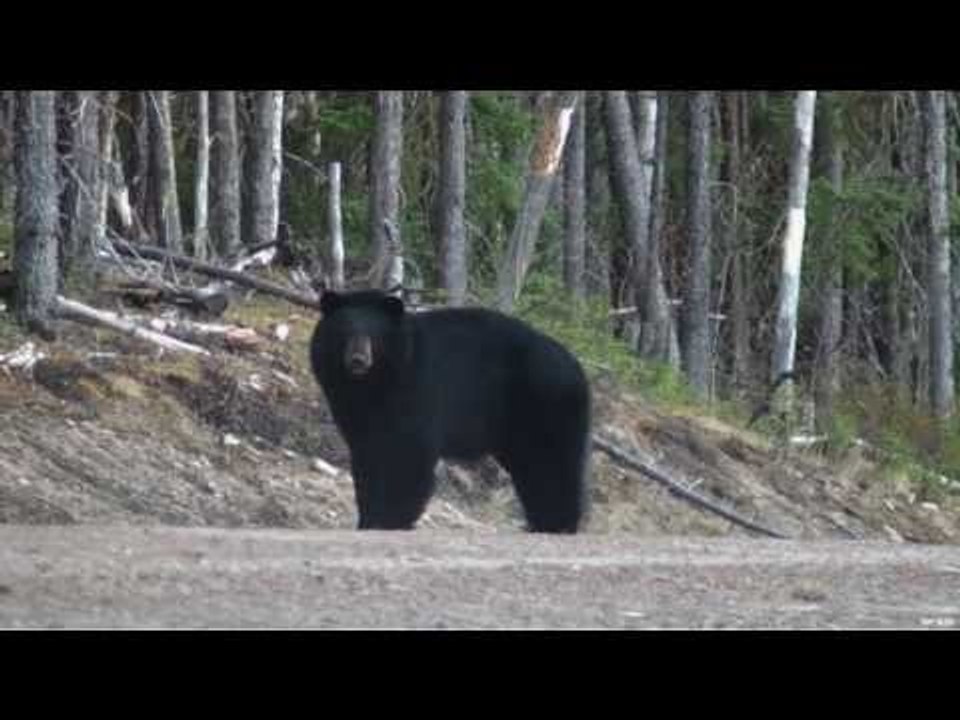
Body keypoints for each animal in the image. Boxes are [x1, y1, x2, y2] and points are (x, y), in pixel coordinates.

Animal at [309, 289, 592, 533]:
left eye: (375, 334)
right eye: (344, 331)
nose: (358, 359)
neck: (373, 384)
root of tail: (575, 365)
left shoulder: (415, 387)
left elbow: (406, 451)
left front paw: (390, 519)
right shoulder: (353, 407)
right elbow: (367, 456)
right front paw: (368, 518)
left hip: (544, 402)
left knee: (552, 459)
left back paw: (558, 523)